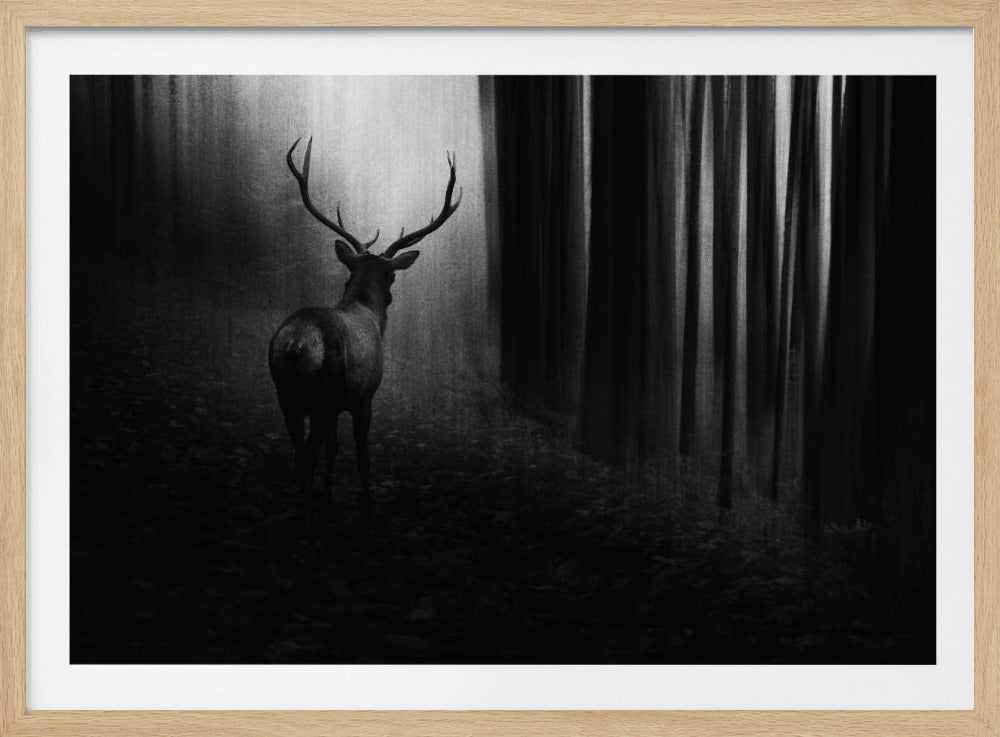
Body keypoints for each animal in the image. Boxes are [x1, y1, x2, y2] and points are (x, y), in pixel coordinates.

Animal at [269, 136, 461, 517]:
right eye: (391, 276)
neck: (366, 311)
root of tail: (296, 343)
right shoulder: (364, 396)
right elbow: (361, 454)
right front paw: (366, 501)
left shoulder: (335, 406)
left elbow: (333, 450)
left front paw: (330, 494)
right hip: (323, 394)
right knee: (307, 457)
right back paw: (312, 514)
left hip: (287, 396)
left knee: (300, 454)